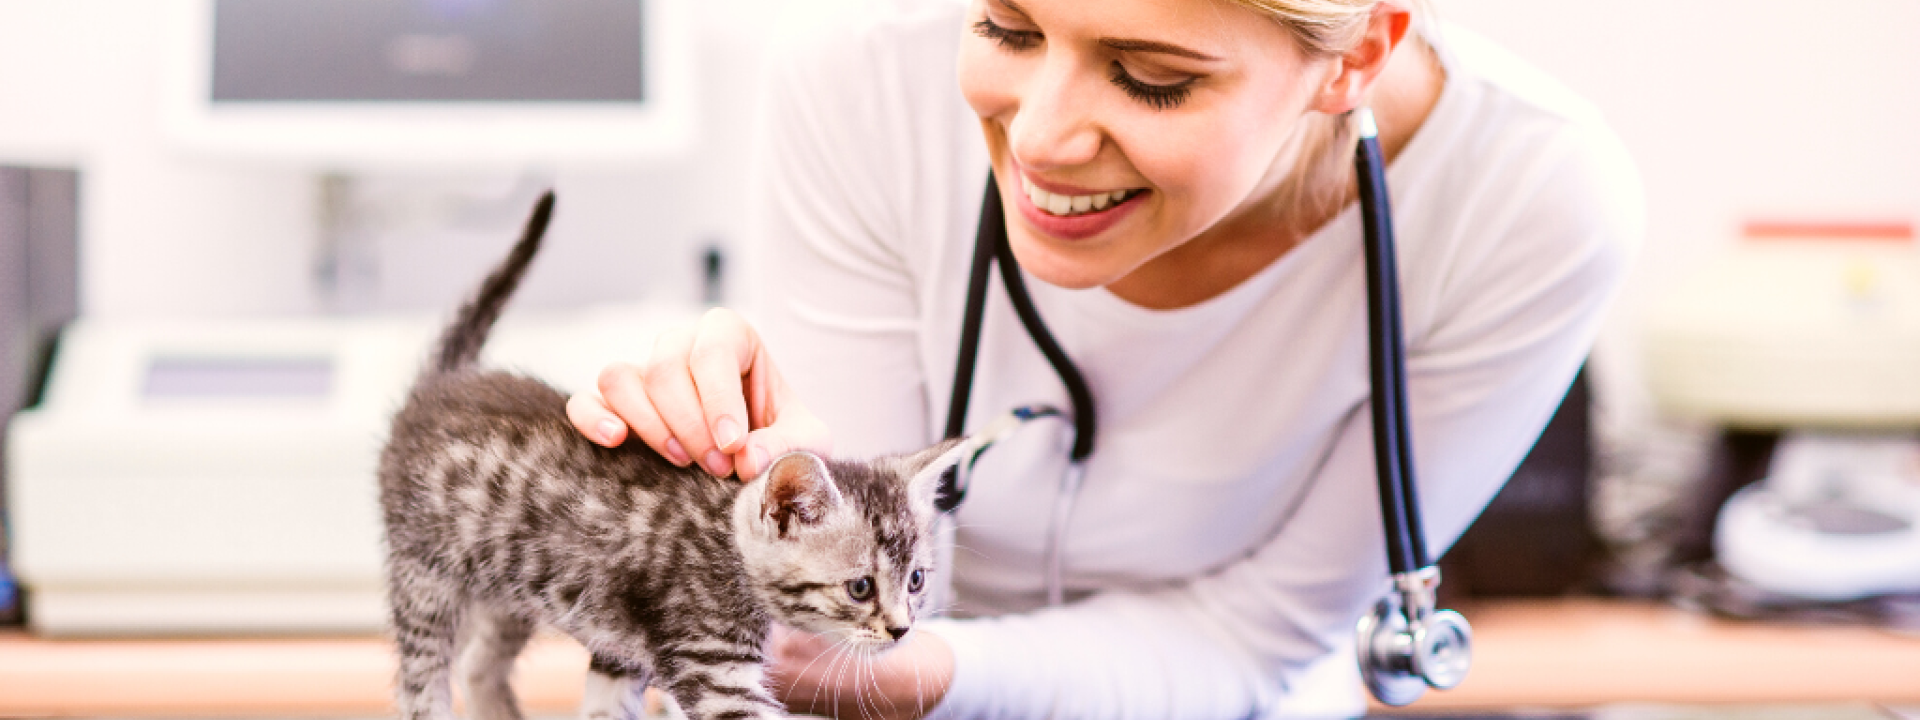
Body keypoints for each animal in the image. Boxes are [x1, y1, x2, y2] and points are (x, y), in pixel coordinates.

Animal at [378, 194, 960, 720]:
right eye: (860, 587)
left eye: (916, 580)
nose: (902, 628)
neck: (726, 545)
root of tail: (440, 385)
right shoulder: (714, 665)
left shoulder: (621, 653)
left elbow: (606, 707)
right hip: (423, 574)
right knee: (421, 680)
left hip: (512, 588)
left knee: (479, 663)